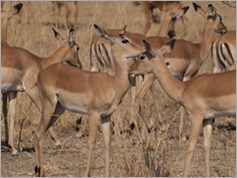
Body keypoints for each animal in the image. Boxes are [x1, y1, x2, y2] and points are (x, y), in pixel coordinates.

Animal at [33, 23, 144, 177]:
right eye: (124, 40)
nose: (144, 48)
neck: (113, 83)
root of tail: (42, 72)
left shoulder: (106, 116)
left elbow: (107, 142)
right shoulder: (94, 114)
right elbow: (92, 142)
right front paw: (87, 173)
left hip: (58, 109)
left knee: (41, 132)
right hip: (49, 106)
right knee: (38, 133)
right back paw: (41, 172)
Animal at [129, 39, 236, 177]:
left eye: (142, 56)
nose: (130, 70)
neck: (184, 88)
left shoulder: (196, 117)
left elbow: (190, 146)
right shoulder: (208, 119)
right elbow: (207, 146)